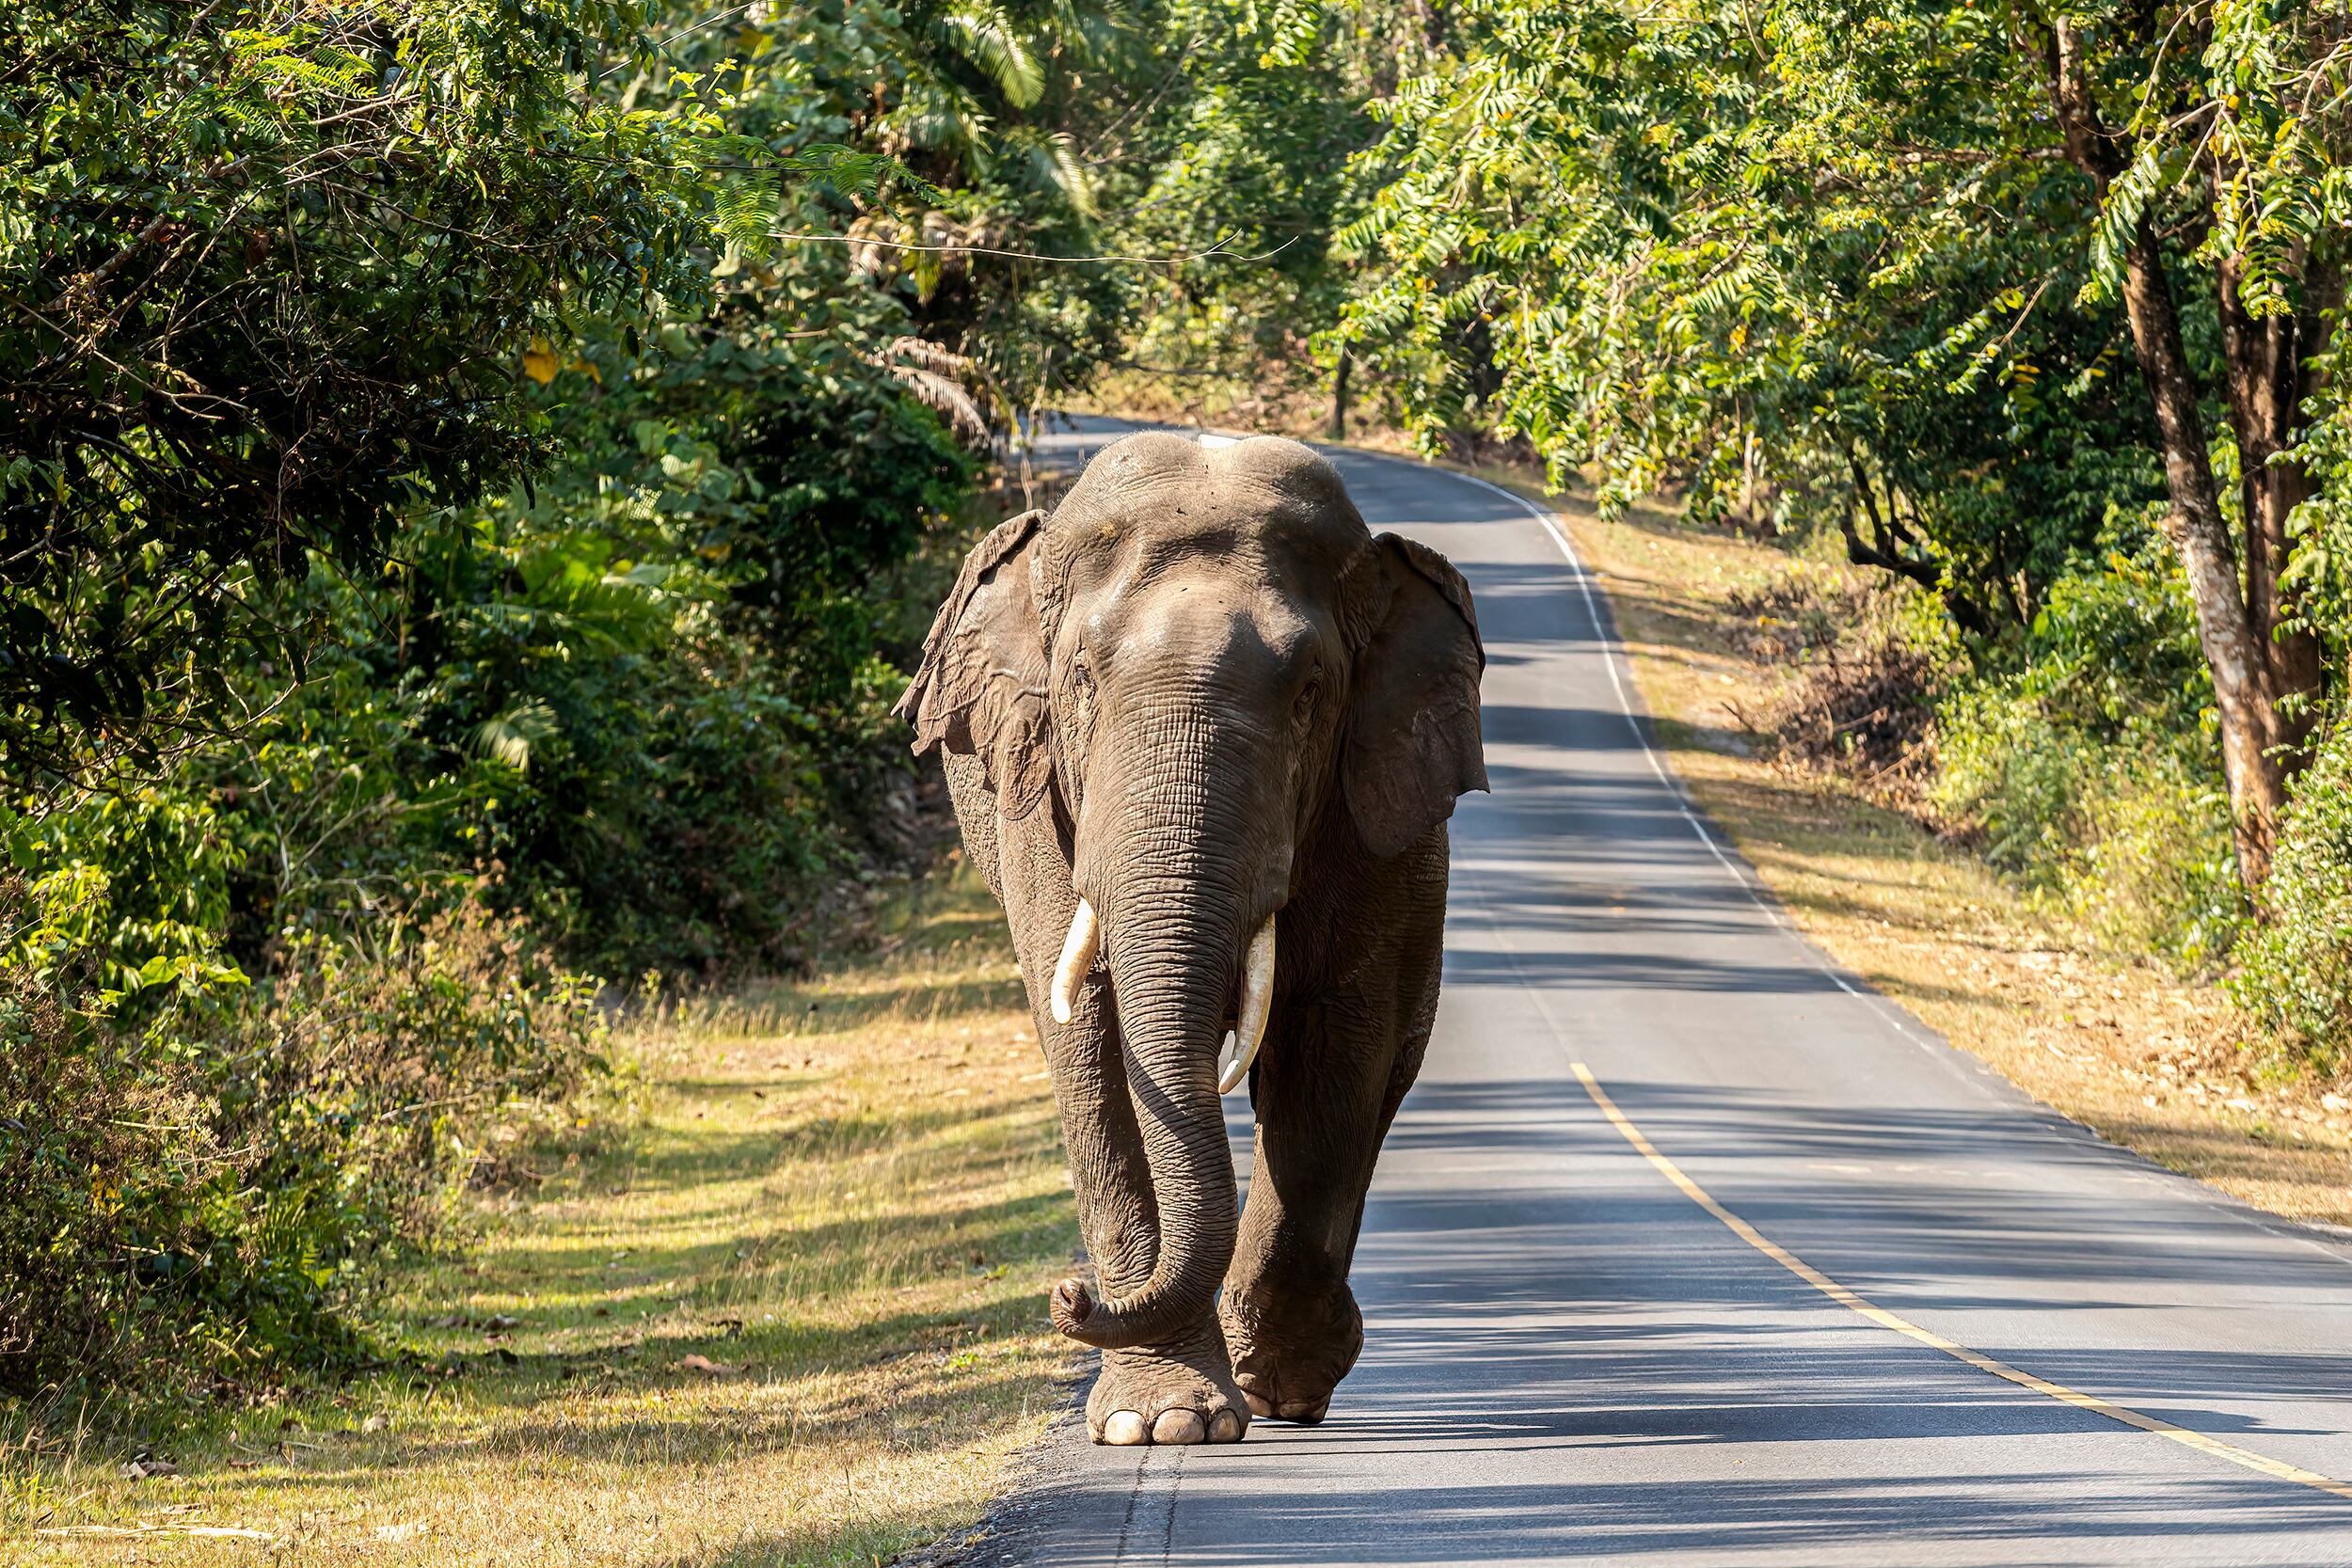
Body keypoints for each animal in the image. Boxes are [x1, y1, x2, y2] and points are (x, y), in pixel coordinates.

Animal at [896, 432, 1485, 1445]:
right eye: (1079, 682)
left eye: (1310, 694)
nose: (1067, 1294)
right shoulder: (1041, 803)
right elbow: (1089, 1038)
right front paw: (1161, 1421)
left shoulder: (1370, 815)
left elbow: (1334, 1041)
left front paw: (1272, 1387)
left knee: (1385, 1068)